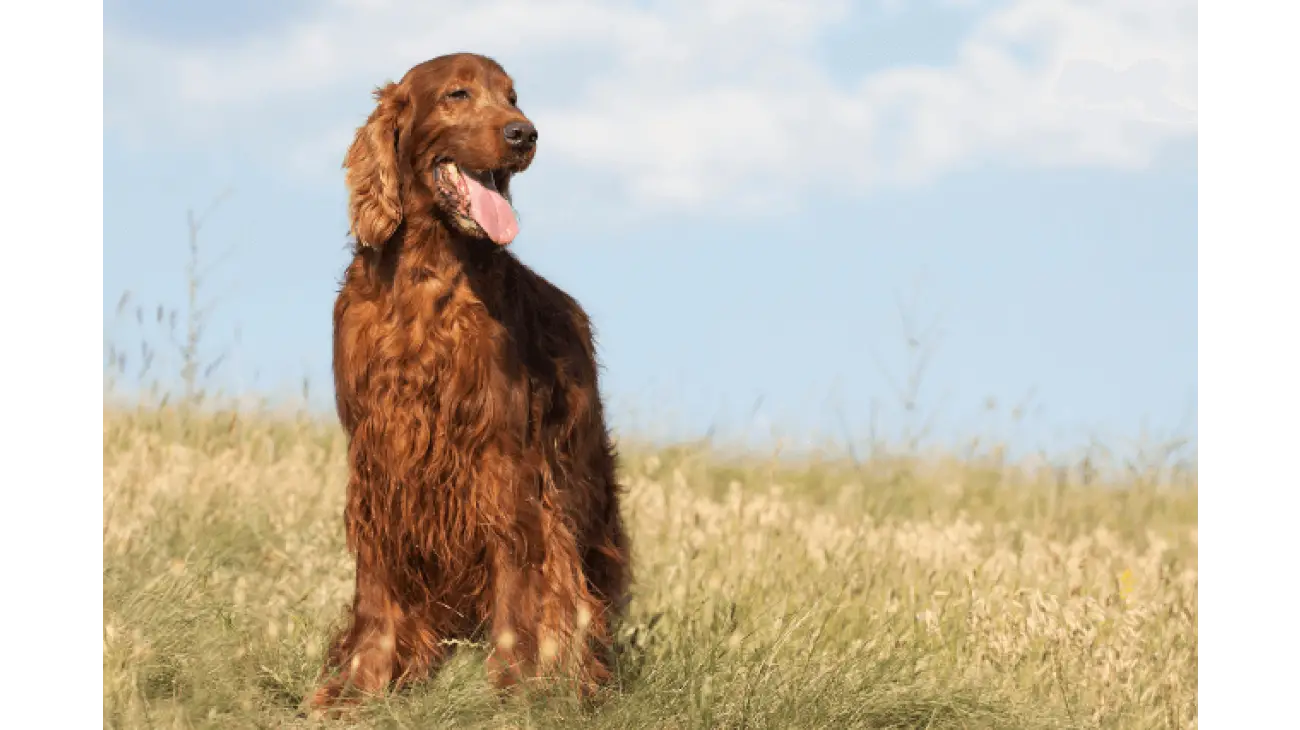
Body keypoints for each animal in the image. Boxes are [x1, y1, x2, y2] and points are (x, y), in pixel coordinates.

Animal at [306, 52, 626, 706]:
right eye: (458, 94)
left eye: (512, 97)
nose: (524, 134)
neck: (426, 275)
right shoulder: (377, 459)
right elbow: (376, 593)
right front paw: (361, 686)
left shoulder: (502, 461)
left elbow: (514, 584)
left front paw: (507, 690)